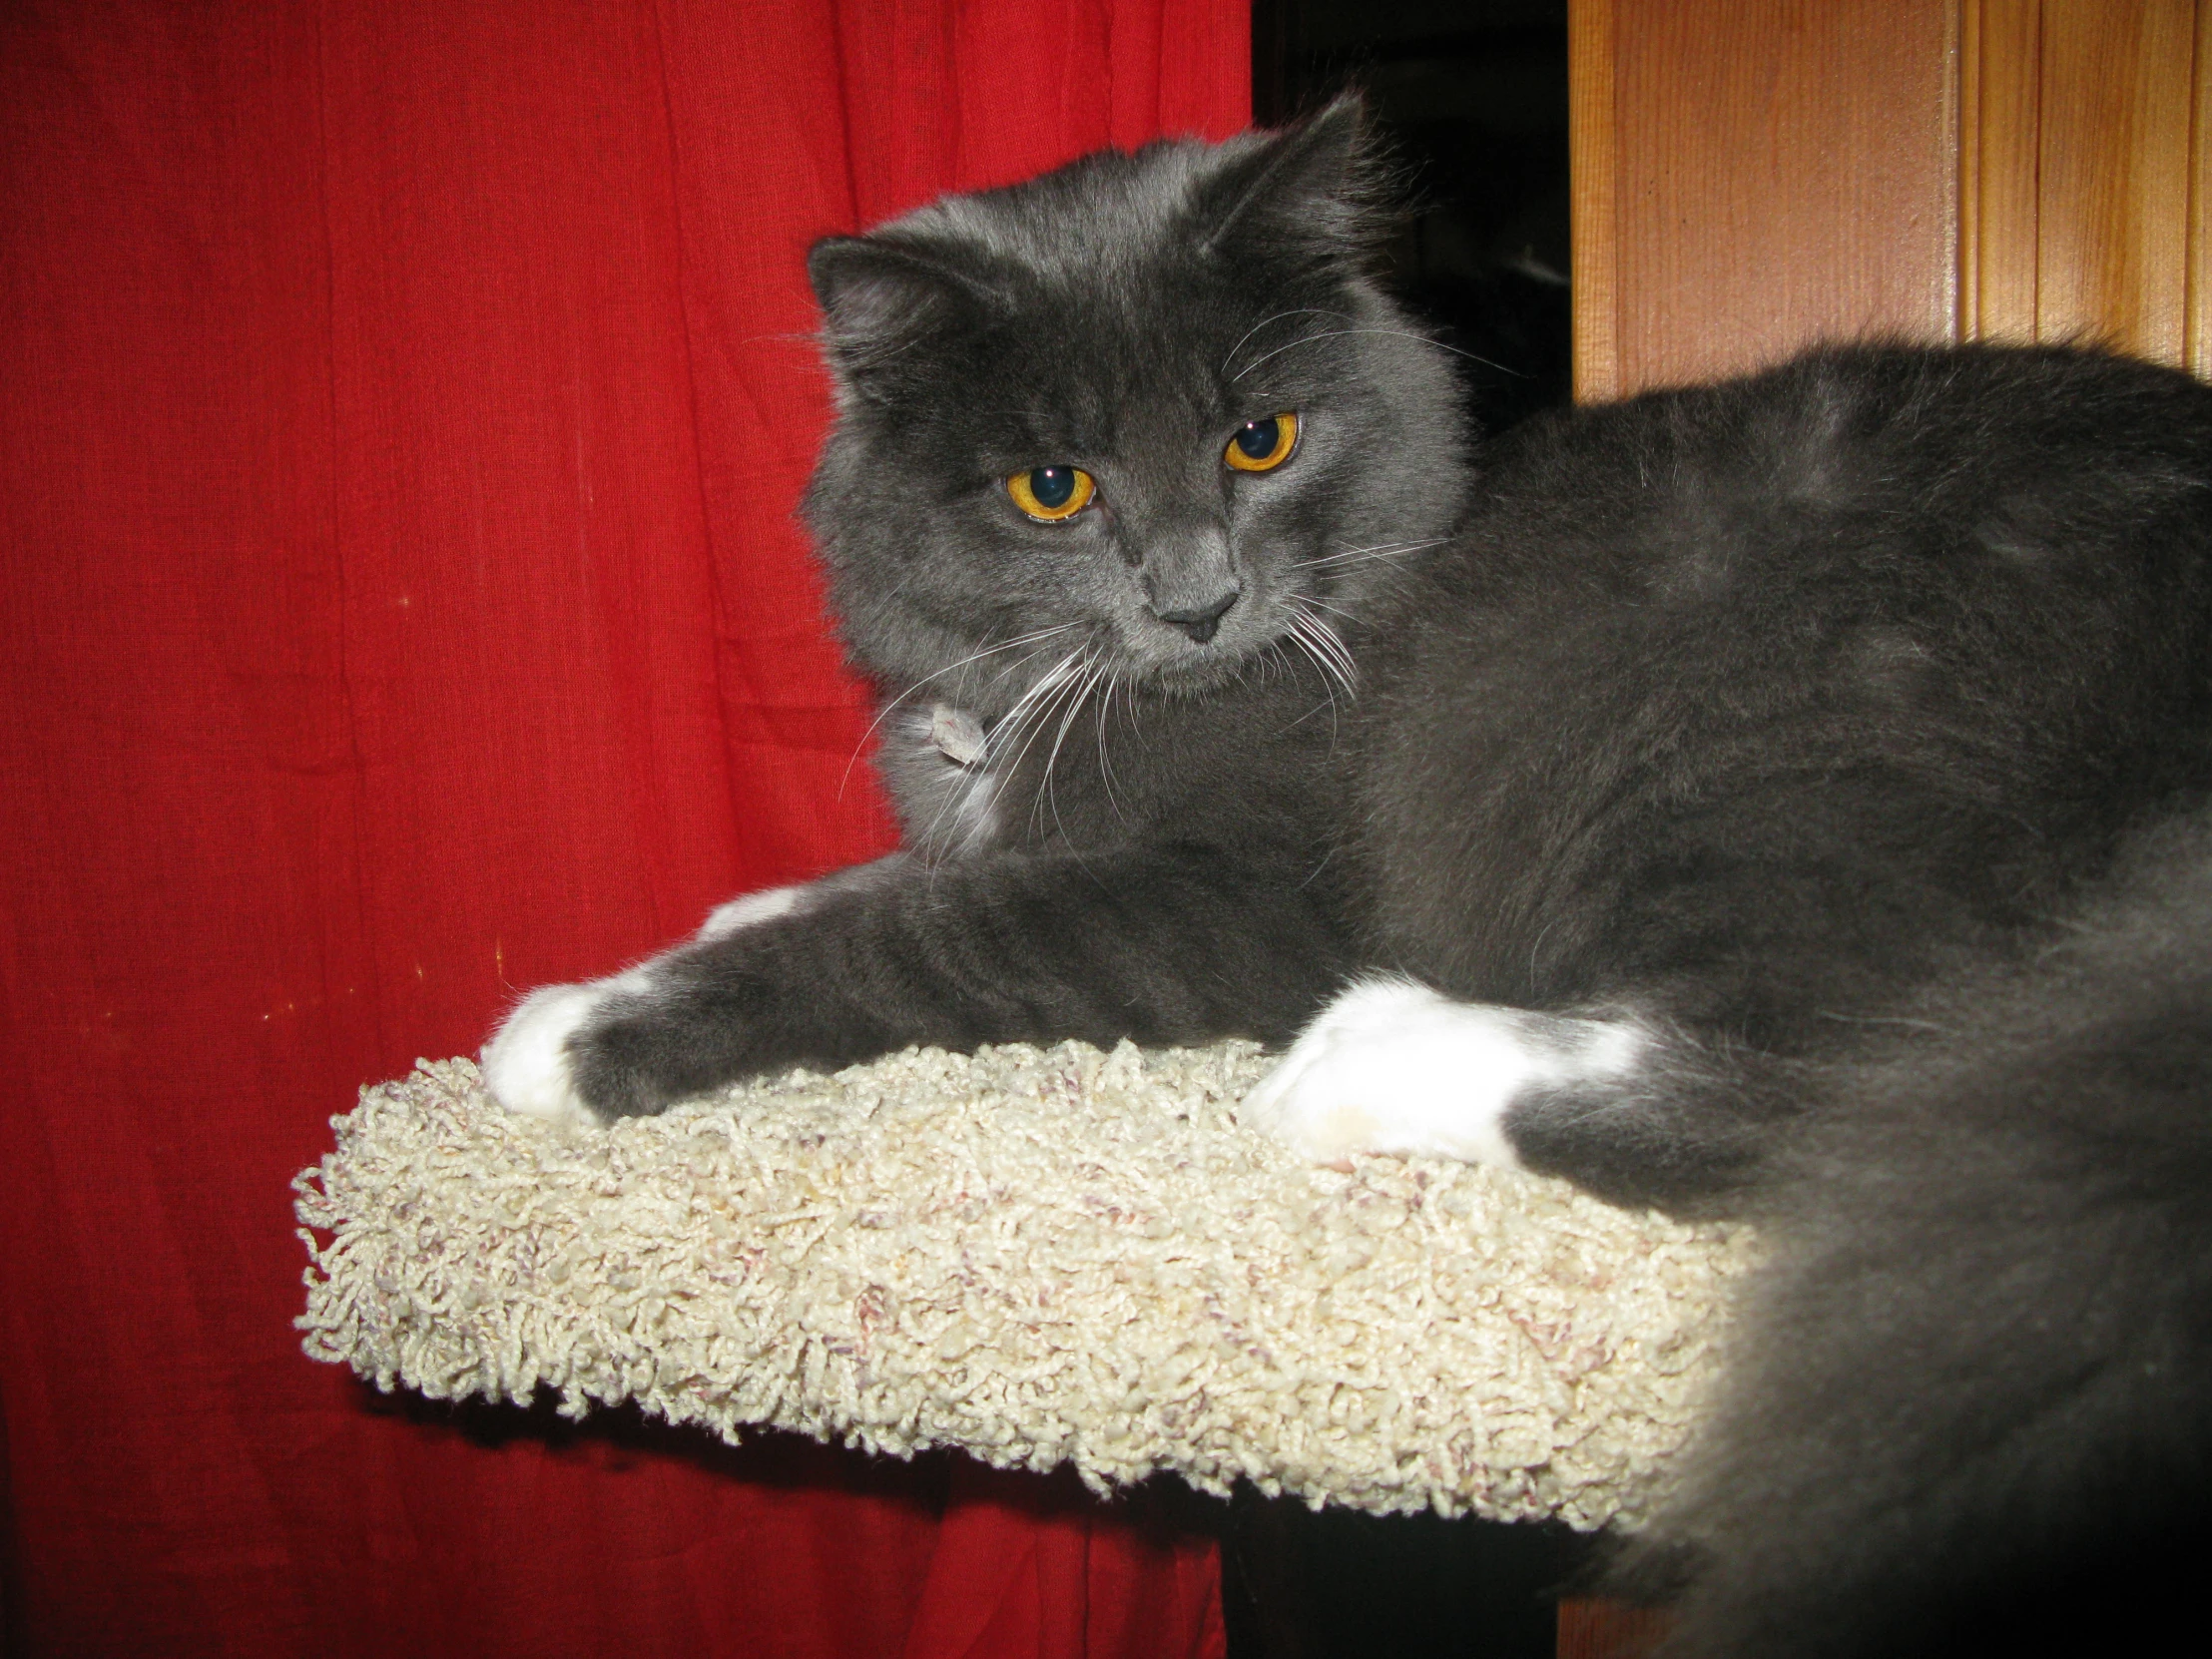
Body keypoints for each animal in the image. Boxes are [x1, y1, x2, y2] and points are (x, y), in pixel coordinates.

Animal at [488, 107, 2212, 1659]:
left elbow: (926, 927)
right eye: (1053, 486)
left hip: (1788, 732)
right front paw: (735, 906)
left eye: (1260, 440)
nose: (1198, 600)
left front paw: (573, 1028)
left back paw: (1363, 1055)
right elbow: (875, 875)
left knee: (1827, 1078)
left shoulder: (1250, 891)